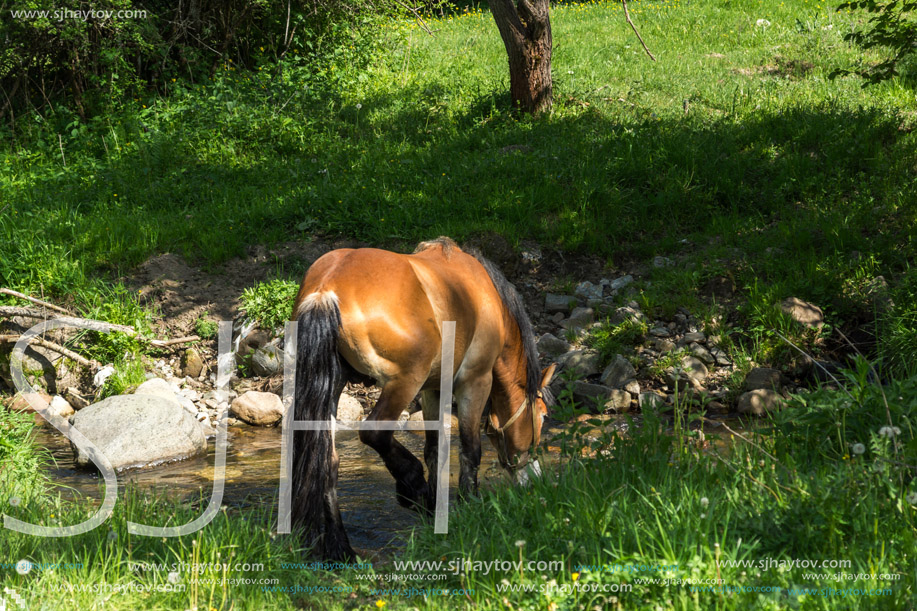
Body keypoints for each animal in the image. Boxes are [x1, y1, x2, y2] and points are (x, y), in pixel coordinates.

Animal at [290, 238, 556, 560]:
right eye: (543, 415)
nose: (535, 478)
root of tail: (326, 288)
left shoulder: (433, 390)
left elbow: (435, 451)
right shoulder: (475, 381)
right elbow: (470, 450)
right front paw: (468, 505)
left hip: (335, 384)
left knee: (328, 463)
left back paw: (342, 549)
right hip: (404, 382)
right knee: (374, 433)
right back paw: (413, 485)